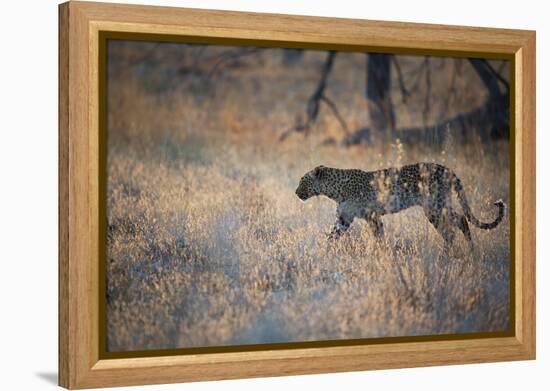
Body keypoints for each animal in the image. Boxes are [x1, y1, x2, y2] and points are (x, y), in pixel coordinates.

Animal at [296, 163, 506, 250]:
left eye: (302, 181)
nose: (296, 192)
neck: (334, 191)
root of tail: (447, 169)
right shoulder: (344, 219)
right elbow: (332, 236)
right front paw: (324, 253)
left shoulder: (371, 216)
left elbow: (378, 236)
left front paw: (381, 253)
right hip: (439, 206)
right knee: (461, 220)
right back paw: (470, 250)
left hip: (434, 207)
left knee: (450, 231)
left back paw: (449, 254)